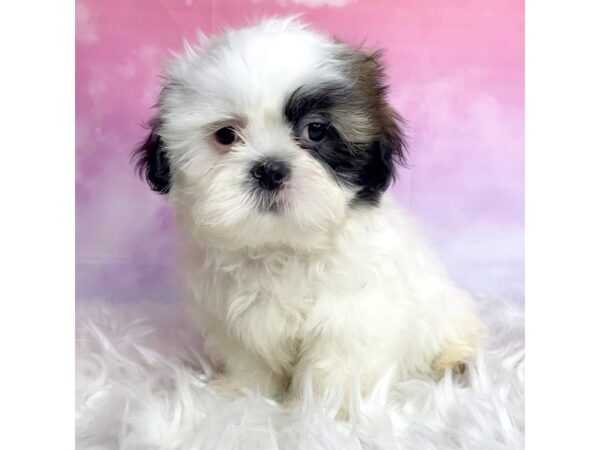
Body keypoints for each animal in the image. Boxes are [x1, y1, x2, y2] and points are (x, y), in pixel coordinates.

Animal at [134, 17, 486, 416]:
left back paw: (454, 362)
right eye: (226, 135)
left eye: (316, 130)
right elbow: (249, 360)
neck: (281, 247)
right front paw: (244, 395)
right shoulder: (234, 322)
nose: (270, 169)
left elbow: (335, 366)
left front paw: (324, 413)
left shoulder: (349, 319)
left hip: (448, 313)